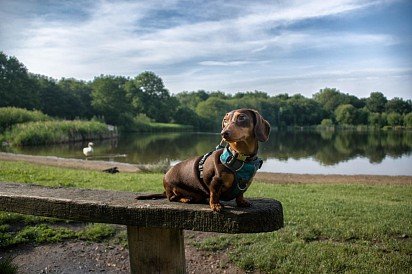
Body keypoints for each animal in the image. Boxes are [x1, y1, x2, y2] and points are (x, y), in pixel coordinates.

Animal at [136, 109, 270, 212]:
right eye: (225, 120)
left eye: (242, 117)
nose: (224, 133)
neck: (240, 157)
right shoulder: (215, 181)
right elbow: (214, 194)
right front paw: (215, 205)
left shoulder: (245, 183)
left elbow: (240, 194)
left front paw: (242, 202)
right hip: (173, 188)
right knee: (173, 198)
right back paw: (185, 198)